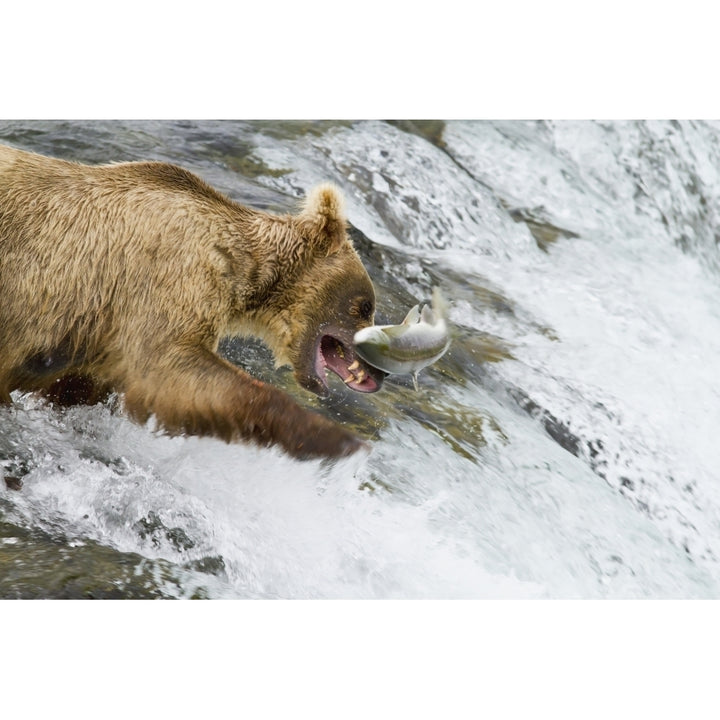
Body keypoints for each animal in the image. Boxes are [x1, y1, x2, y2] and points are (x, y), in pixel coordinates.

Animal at [0, 145, 386, 462]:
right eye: (365, 306)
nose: (379, 372)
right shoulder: (166, 278)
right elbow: (171, 369)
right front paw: (336, 439)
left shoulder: (97, 330)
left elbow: (76, 387)